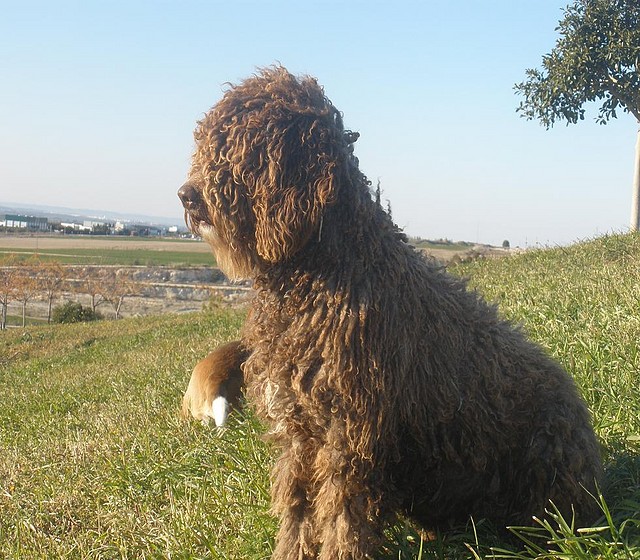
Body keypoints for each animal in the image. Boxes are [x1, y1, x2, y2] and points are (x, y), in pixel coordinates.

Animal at [178, 68, 604, 556]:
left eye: (243, 146)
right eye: (208, 141)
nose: (186, 195)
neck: (327, 268)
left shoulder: (348, 437)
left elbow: (342, 519)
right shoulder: (300, 433)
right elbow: (298, 514)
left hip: (543, 462)